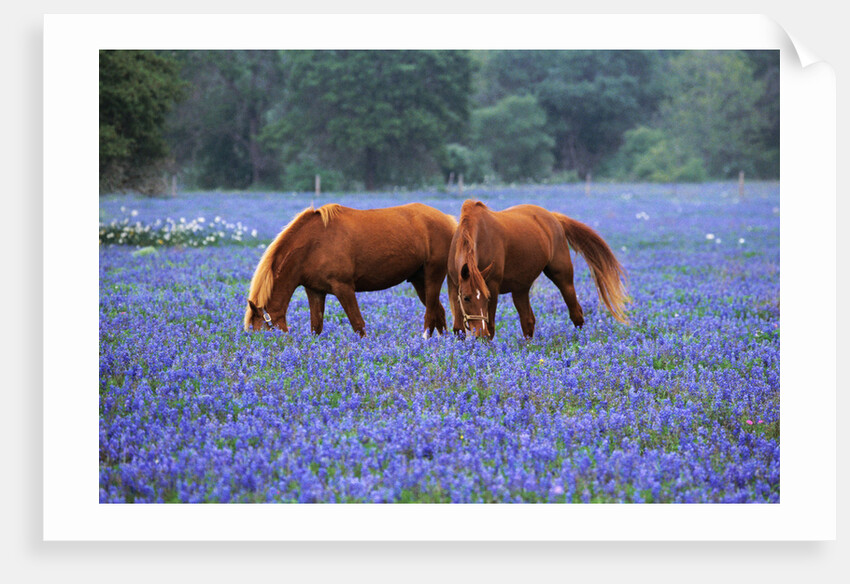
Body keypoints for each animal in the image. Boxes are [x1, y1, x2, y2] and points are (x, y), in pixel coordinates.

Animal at [244, 203, 457, 337]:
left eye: (263, 331)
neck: (314, 244)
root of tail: (448, 220)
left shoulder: (344, 288)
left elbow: (358, 325)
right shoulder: (315, 291)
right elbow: (316, 327)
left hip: (433, 276)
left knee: (430, 314)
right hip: (419, 280)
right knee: (438, 311)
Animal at [447, 200, 628, 339]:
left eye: (487, 298)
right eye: (466, 298)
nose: (480, 334)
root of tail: (554, 217)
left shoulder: (492, 285)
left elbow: (491, 327)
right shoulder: (455, 286)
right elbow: (458, 329)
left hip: (563, 277)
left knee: (576, 313)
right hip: (520, 288)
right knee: (528, 321)